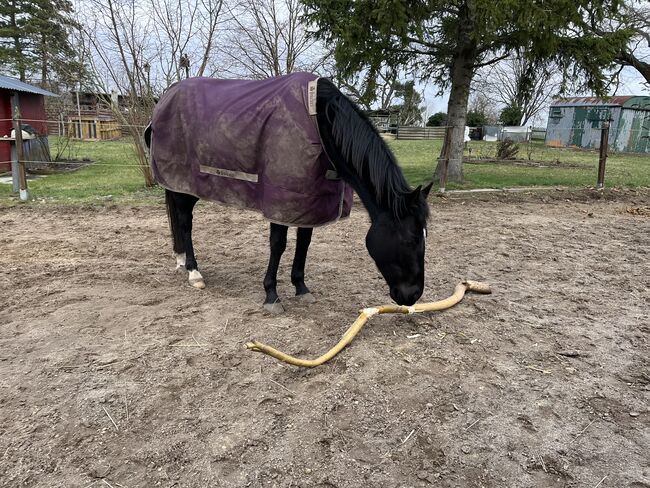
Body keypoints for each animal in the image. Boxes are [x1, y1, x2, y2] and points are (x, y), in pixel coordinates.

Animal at [147, 75, 430, 312]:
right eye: (410, 240)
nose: (413, 296)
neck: (320, 121)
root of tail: (165, 98)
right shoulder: (280, 203)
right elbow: (278, 245)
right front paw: (271, 295)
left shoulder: (309, 203)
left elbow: (304, 243)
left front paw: (301, 288)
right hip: (183, 187)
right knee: (185, 223)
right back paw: (194, 272)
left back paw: (181, 261)